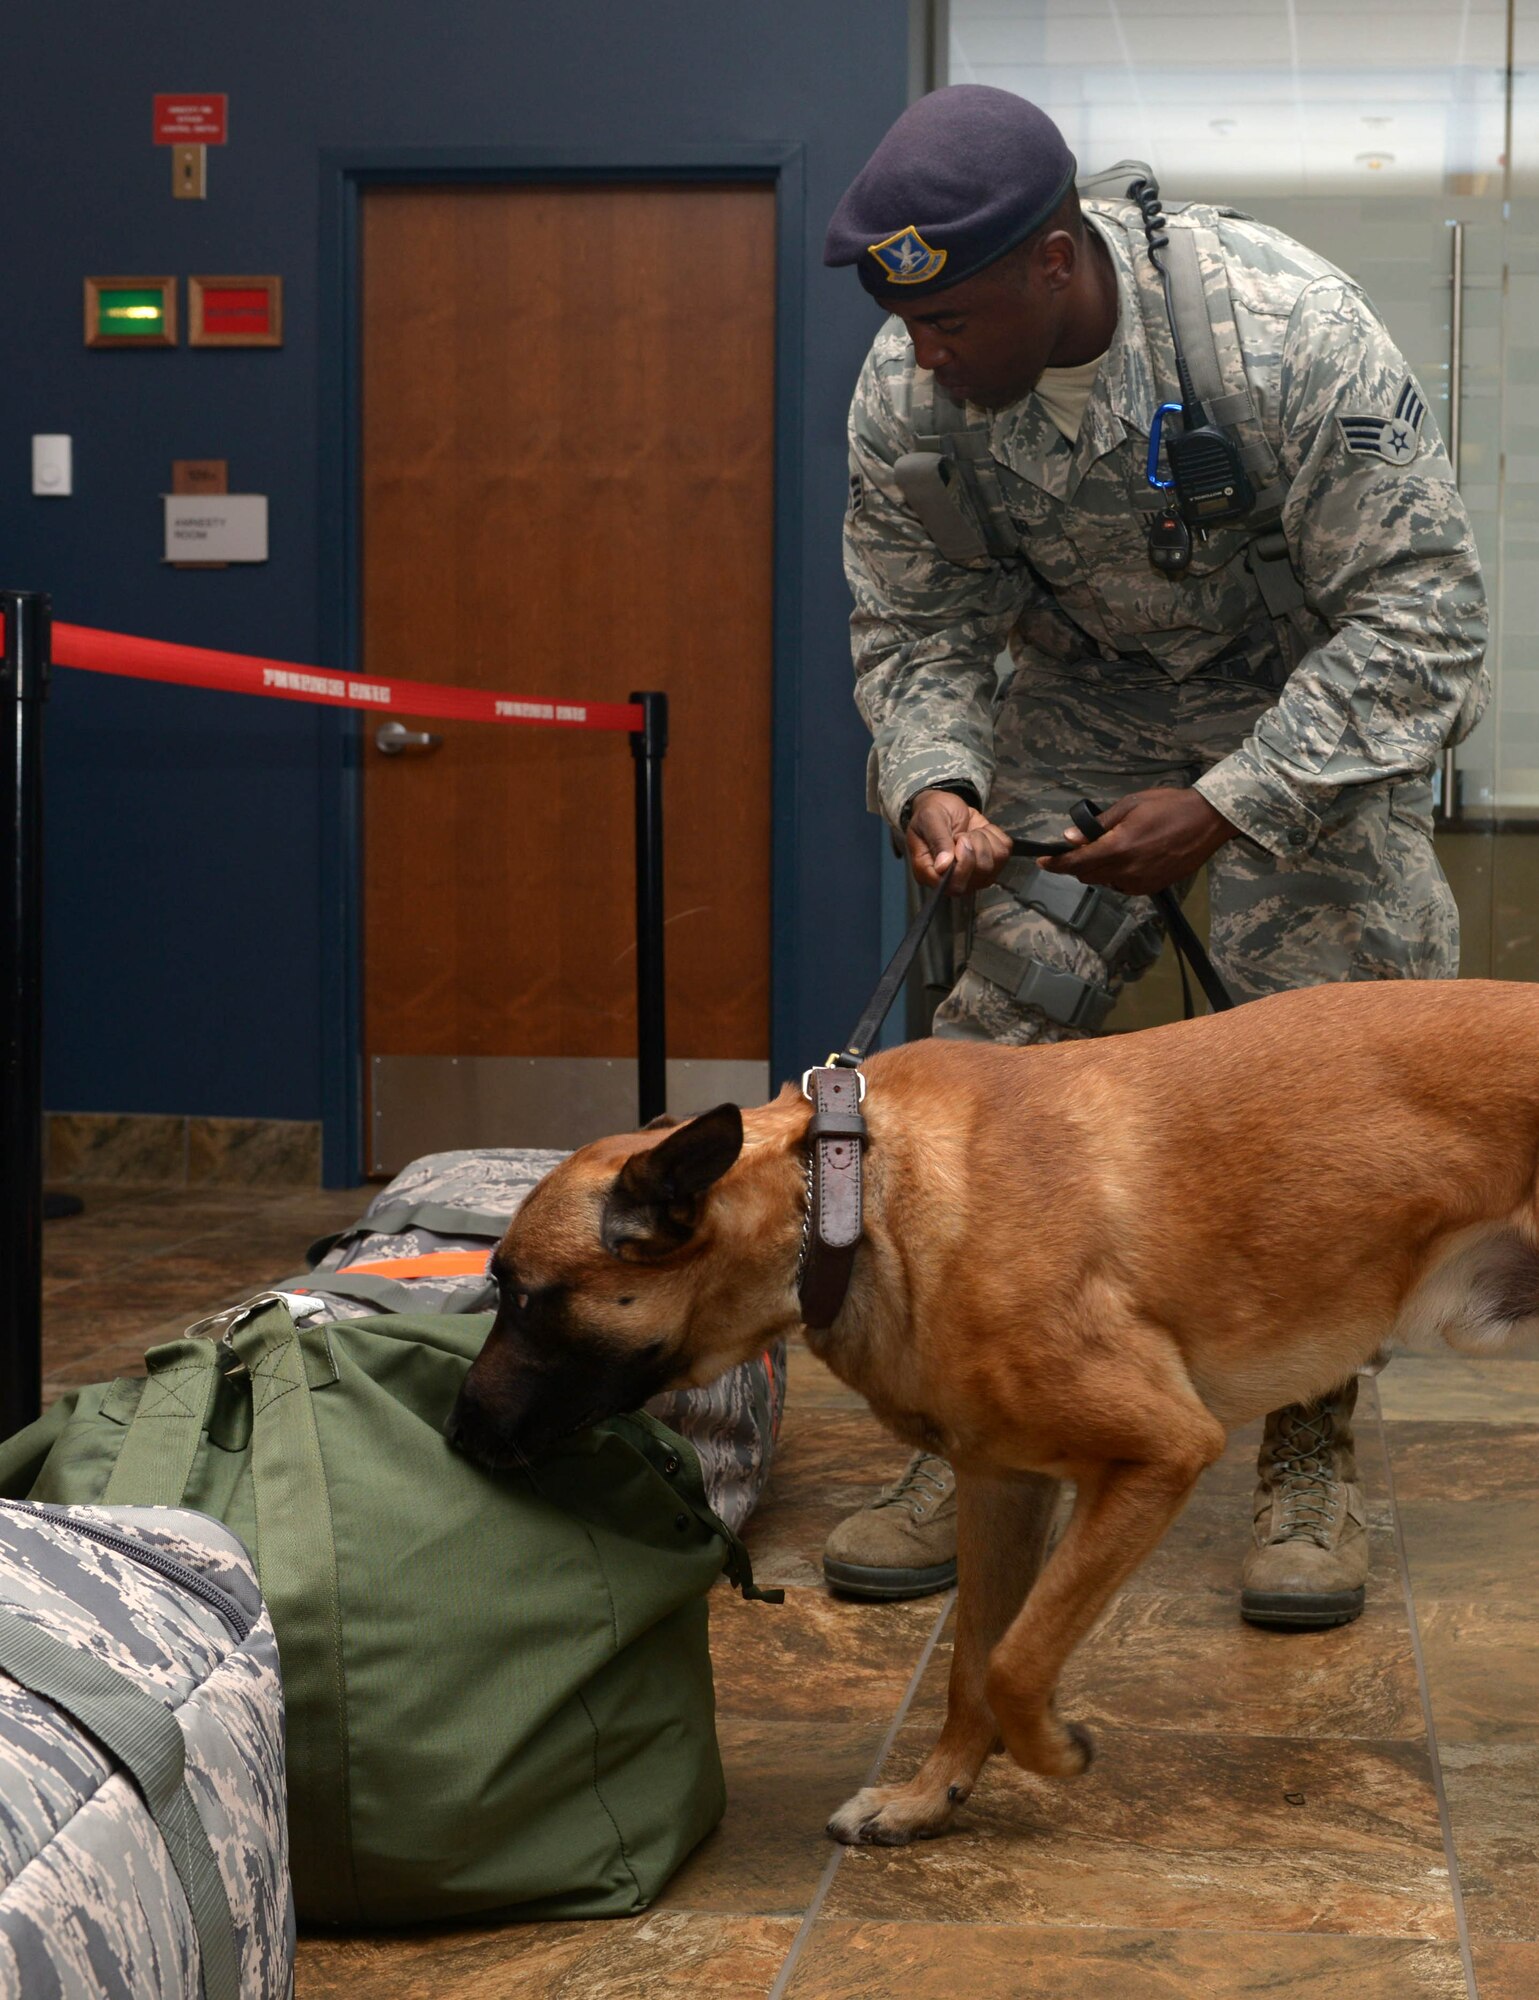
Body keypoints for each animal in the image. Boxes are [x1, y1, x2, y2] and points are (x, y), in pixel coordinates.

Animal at [443, 984, 1535, 1840]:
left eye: (523, 1296)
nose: (456, 1434)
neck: (847, 1194)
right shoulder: (1001, 1485)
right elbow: (971, 1661)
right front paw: (932, 1796)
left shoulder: (1158, 1454)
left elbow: (1015, 1660)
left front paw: (1050, 1748)